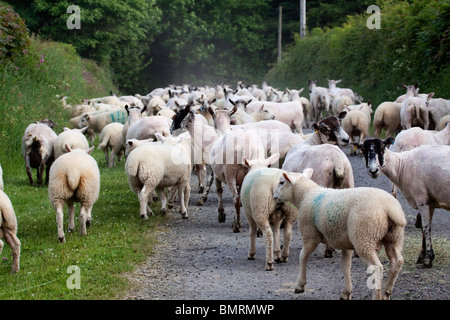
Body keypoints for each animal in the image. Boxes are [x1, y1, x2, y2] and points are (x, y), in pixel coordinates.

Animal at [272, 168, 406, 300]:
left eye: (282, 182)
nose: (274, 196)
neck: (306, 195)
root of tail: (389, 209)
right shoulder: (345, 244)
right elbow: (345, 265)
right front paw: (346, 292)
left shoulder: (310, 235)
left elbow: (302, 256)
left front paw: (300, 285)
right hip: (394, 237)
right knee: (397, 261)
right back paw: (386, 292)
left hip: (364, 236)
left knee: (377, 267)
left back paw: (377, 296)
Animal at [362, 138, 450, 268]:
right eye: (363, 149)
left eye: (382, 146)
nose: (373, 171)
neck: (402, 165)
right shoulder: (430, 201)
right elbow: (425, 227)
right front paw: (421, 256)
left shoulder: (421, 198)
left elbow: (426, 227)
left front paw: (428, 259)